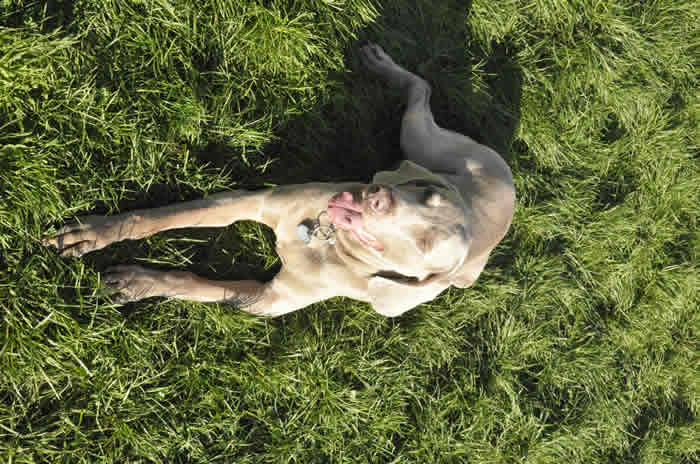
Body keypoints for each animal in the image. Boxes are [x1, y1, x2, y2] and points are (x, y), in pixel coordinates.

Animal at [42, 43, 516, 318]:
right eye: (426, 193)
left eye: (425, 246)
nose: (377, 197)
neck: (329, 243)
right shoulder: (254, 201)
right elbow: (160, 217)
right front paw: (96, 232)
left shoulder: (268, 301)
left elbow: (198, 283)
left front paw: (140, 282)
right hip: (422, 140)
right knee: (421, 91)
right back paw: (384, 67)